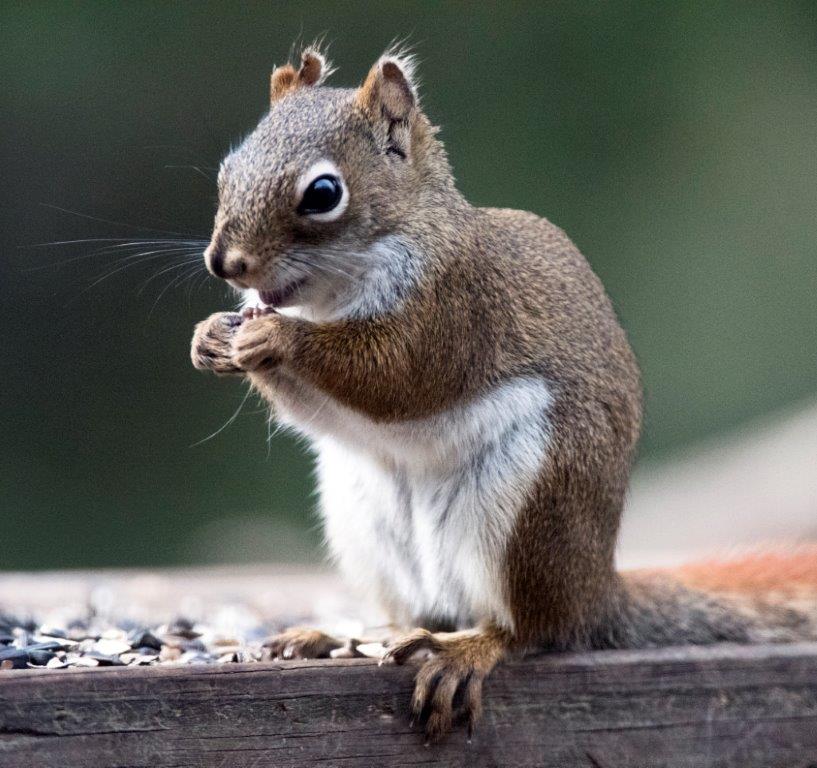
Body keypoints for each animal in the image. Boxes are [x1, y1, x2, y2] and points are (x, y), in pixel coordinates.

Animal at [191, 45, 816, 740]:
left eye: (323, 194)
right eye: (226, 170)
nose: (225, 264)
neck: (336, 292)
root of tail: (597, 593)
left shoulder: (452, 313)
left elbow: (389, 376)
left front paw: (278, 337)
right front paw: (210, 337)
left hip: (526, 507)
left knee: (529, 629)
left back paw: (468, 650)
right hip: (365, 522)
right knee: (416, 616)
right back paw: (332, 637)